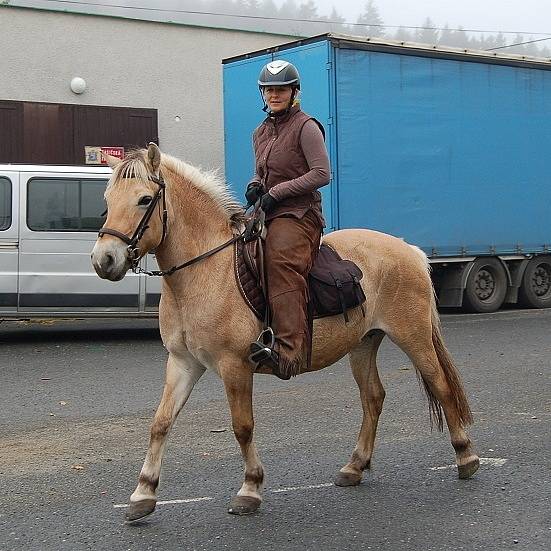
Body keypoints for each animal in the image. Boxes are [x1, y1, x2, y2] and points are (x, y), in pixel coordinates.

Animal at [90, 142, 478, 520]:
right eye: (107, 200)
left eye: (144, 199)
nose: (103, 260)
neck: (205, 270)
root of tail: (408, 249)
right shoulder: (183, 363)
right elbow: (160, 423)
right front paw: (143, 493)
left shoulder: (235, 366)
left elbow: (242, 427)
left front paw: (250, 488)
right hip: (363, 344)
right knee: (373, 397)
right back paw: (354, 466)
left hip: (413, 337)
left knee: (441, 386)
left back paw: (466, 456)